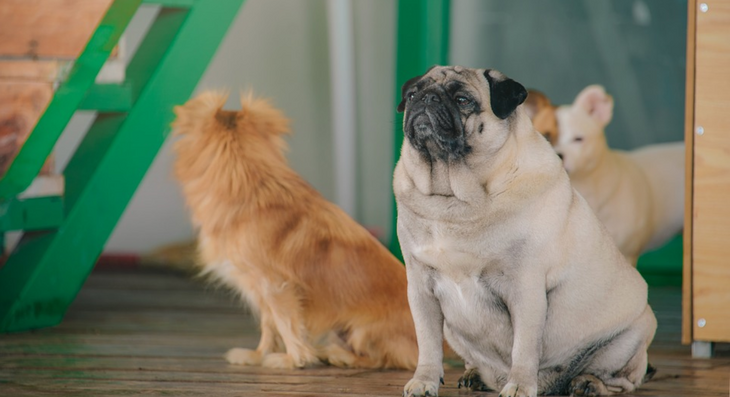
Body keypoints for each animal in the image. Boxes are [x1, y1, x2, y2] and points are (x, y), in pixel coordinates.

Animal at [170, 91, 416, 370]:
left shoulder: (275, 287)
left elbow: (287, 325)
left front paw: (292, 360)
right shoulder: (261, 291)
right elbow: (269, 327)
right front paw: (258, 355)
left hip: (363, 331)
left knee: (381, 360)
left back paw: (338, 356)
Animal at [392, 66, 656, 394]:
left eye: (463, 100)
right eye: (413, 95)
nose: (426, 99)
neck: (454, 197)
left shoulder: (525, 290)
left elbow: (524, 347)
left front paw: (519, 385)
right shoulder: (421, 290)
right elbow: (427, 345)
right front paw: (424, 380)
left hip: (632, 336)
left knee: (623, 379)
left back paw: (588, 383)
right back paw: (476, 375)